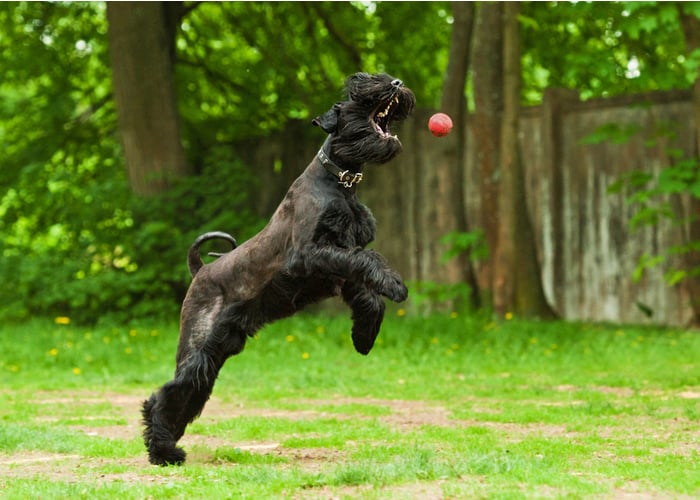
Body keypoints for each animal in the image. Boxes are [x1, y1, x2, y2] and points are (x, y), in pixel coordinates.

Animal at [142, 73, 416, 464]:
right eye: (356, 96)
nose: (394, 82)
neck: (339, 181)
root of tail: (200, 270)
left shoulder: (340, 268)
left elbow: (367, 291)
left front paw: (364, 336)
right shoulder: (311, 254)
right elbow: (369, 260)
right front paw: (395, 284)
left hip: (215, 353)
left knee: (187, 394)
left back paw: (168, 445)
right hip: (198, 346)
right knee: (165, 394)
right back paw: (163, 452)